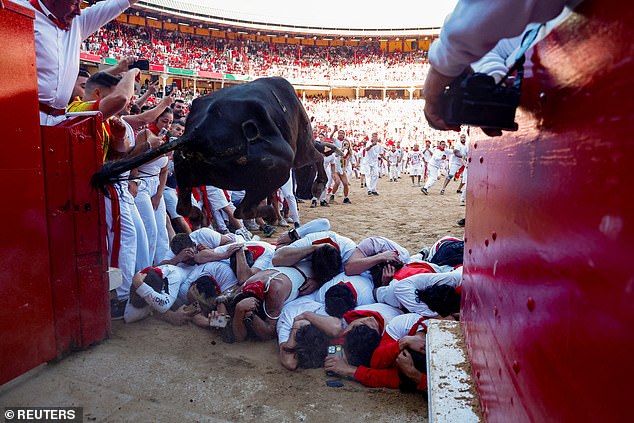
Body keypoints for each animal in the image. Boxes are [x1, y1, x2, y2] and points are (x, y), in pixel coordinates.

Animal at [94, 76, 334, 220]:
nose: (303, 193)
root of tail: (200, 132)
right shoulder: (303, 148)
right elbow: (318, 158)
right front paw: (319, 185)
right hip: (278, 166)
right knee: (242, 210)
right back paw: (270, 213)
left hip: (184, 167)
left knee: (184, 206)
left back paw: (197, 214)